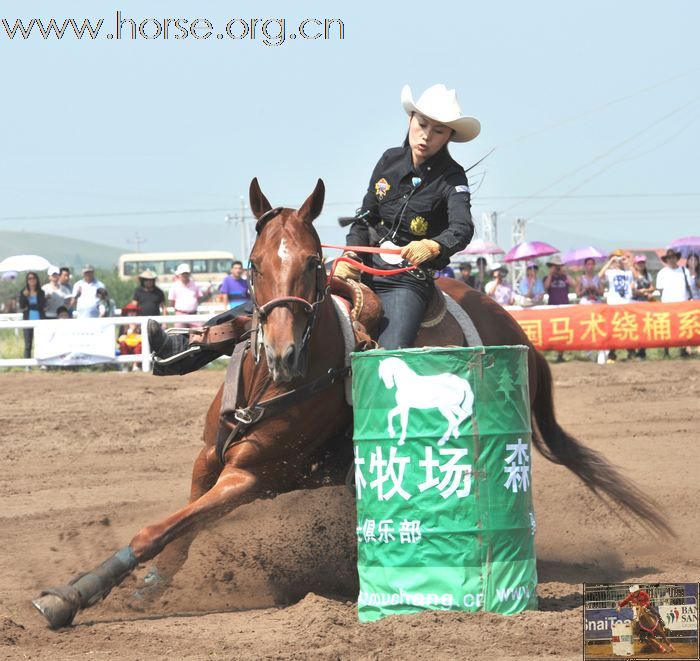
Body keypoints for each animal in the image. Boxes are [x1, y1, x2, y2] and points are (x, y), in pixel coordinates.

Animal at [31, 177, 672, 628]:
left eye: (312, 263)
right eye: (253, 266)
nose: (284, 353)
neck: (273, 382)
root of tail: (515, 328)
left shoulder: (252, 476)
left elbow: (159, 530)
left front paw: (69, 596)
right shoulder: (208, 459)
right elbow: (176, 531)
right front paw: (148, 586)